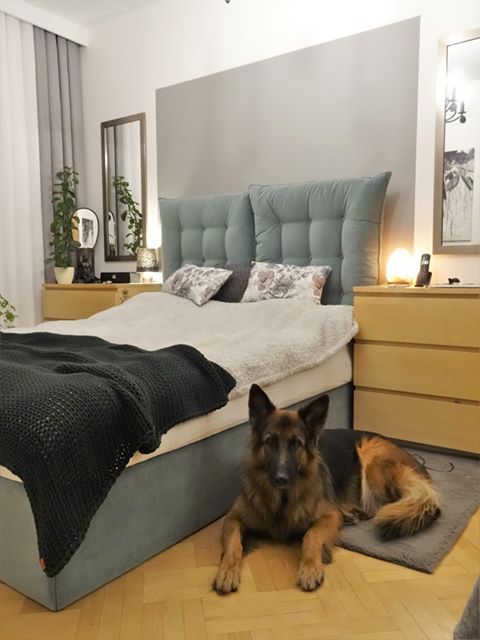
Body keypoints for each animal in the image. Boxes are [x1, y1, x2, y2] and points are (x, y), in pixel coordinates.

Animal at [214, 384, 441, 594]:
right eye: (270, 442)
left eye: (296, 444)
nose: (280, 479)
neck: (282, 500)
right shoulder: (233, 518)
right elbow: (233, 544)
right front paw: (227, 571)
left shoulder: (329, 515)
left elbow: (311, 535)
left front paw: (310, 569)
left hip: (369, 452)